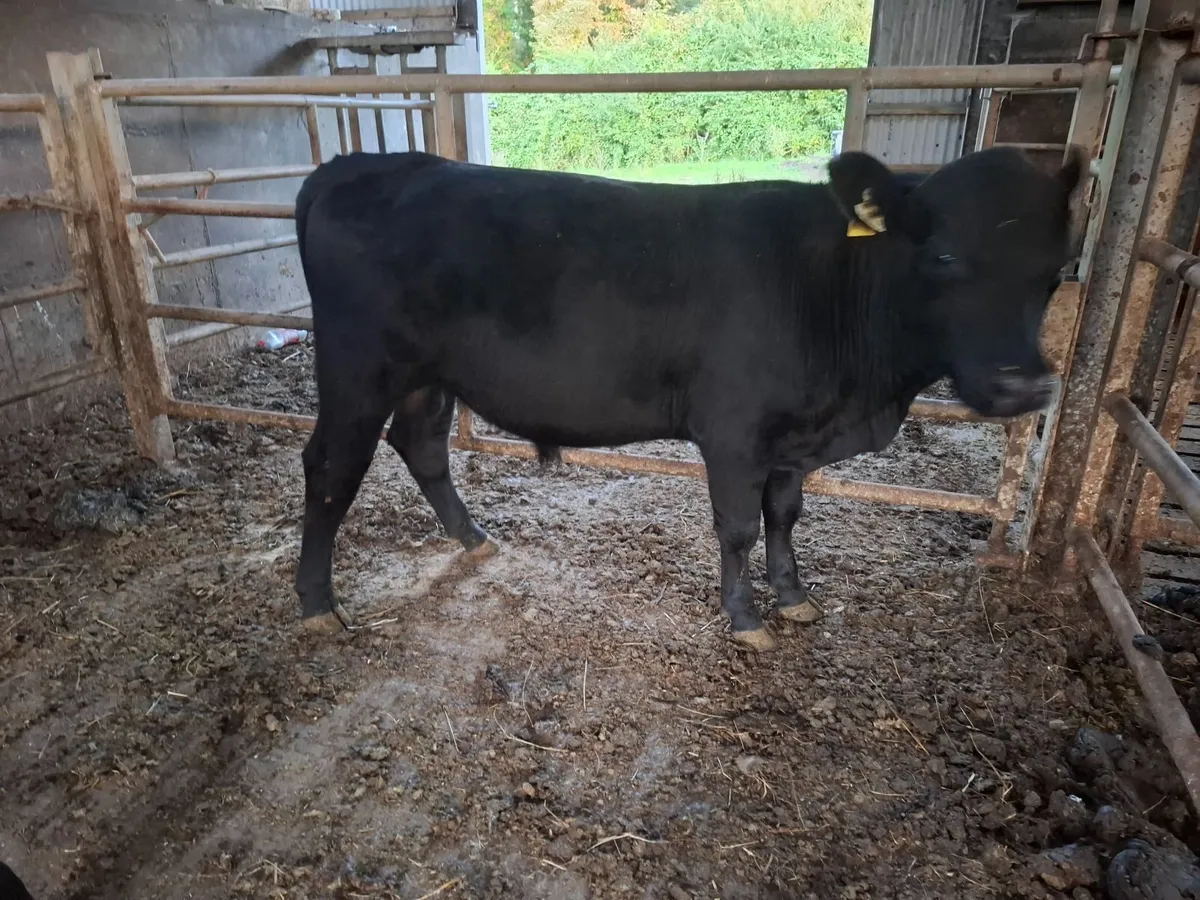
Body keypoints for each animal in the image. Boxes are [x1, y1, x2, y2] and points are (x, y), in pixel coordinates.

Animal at [292, 145, 1083, 651]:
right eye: (944, 256)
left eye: (1055, 271)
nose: (1023, 383)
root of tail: (361, 164)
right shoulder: (733, 432)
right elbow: (737, 527)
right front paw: (745, 618)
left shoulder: (793, 438)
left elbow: (784, 517)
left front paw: (793, 598)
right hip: (359, 366)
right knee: (330, 467)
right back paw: (316, 605)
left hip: (427, 374)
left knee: (420, 444)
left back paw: (473, 537)